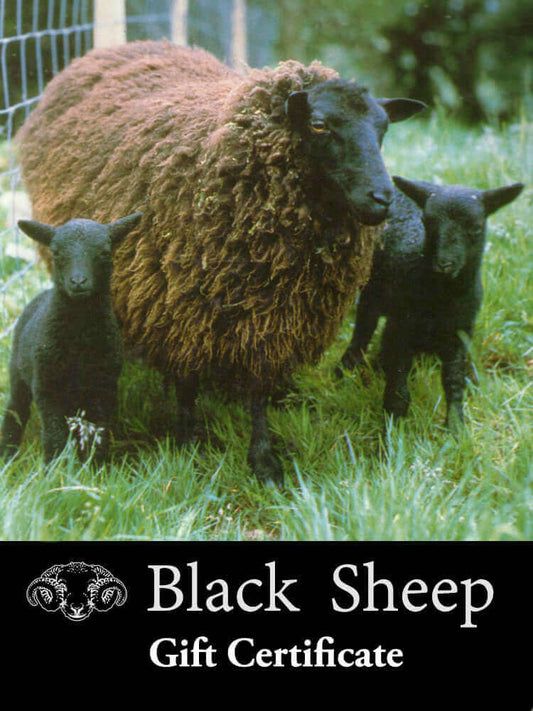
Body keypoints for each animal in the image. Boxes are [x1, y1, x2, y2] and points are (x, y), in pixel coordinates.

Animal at [0, 213, 142, 463]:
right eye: (56, 253)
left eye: (105, 252)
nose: (78, 282)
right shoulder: (46, 387)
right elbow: (55, 435)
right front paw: (55, 468)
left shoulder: (104, 387)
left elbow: (97, 433)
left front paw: (95, 467)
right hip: (18, 372)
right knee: (15, 410)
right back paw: (8, 455)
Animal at [16, 40, 426, 486]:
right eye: (319, 125)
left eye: (383, 129)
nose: (382, 198)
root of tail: (113, 49)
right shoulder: (179, 306)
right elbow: (187, 381)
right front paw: (193, 442)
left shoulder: (276, 313)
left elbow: (260, 384)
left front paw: (265, 453)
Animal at [338, 175, 524, 430]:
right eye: (427, 222)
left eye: (476, 228)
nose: (443, 264)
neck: (441, 298)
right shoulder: (401, 329)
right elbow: (398, 387)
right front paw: (393, 428)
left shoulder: (459, 334)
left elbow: (453, 380)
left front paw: (455, 428)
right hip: (371, 289)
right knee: (363, 330)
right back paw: (346, 369)